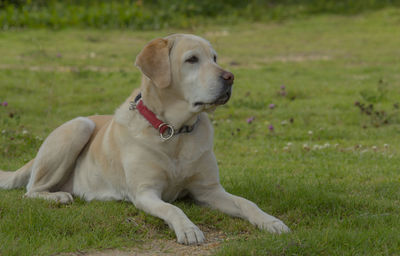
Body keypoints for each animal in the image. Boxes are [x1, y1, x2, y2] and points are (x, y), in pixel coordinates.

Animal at [0, 33, 288, 244]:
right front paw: (189, 229)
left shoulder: (209, 190)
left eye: (215, 58)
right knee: (30, 191)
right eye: (192, 59)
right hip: (79, 126)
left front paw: (270, 221)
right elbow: (173, 208)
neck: (174, 131)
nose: (230, 77)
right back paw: (58, 197)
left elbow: (246, 202)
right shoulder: (146, 193)